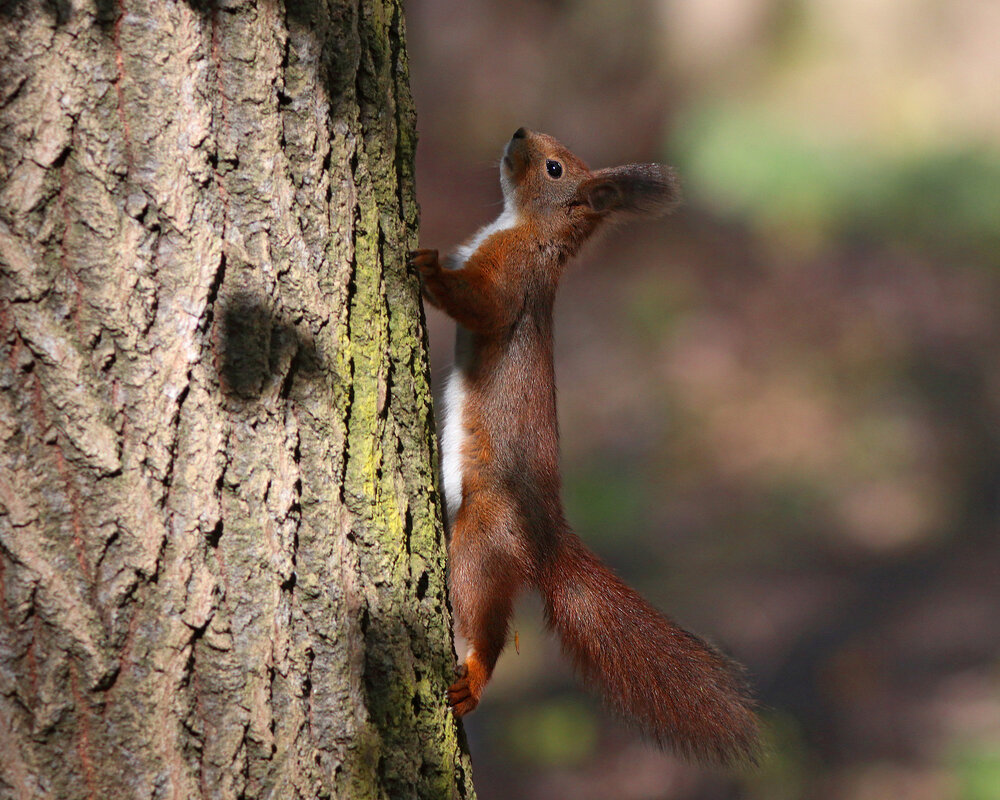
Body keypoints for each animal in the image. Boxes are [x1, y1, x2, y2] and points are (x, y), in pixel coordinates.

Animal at [406, 130, 756, 764]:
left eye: (553, 168)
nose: (519, 131)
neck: (524, 228)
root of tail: (546, 535)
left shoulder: (513, 277)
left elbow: (484, 307)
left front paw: (431, 268)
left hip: (484, 533)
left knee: (484, 615)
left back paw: (474, 677)